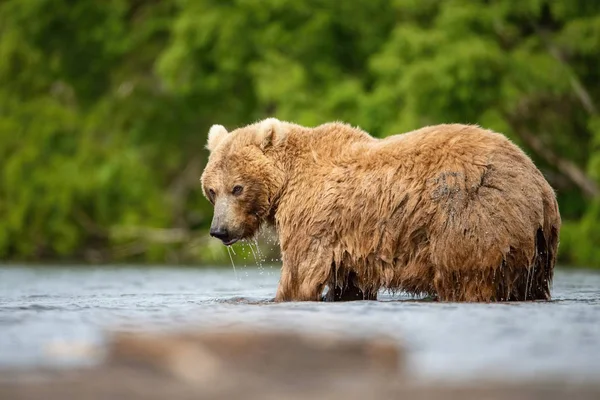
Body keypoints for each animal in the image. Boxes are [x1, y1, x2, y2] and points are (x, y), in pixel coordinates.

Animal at [202, 119, 564, 304]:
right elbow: (349, 283)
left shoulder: (315, 219)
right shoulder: (349, 244)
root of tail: (540, 187)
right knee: (531, 284)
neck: (288, 181)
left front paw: (283, 296)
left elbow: (300, 274)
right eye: (212, 191)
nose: (219, 230)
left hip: (473, 219)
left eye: (237, 188)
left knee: (467, 276)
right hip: (537, 245)